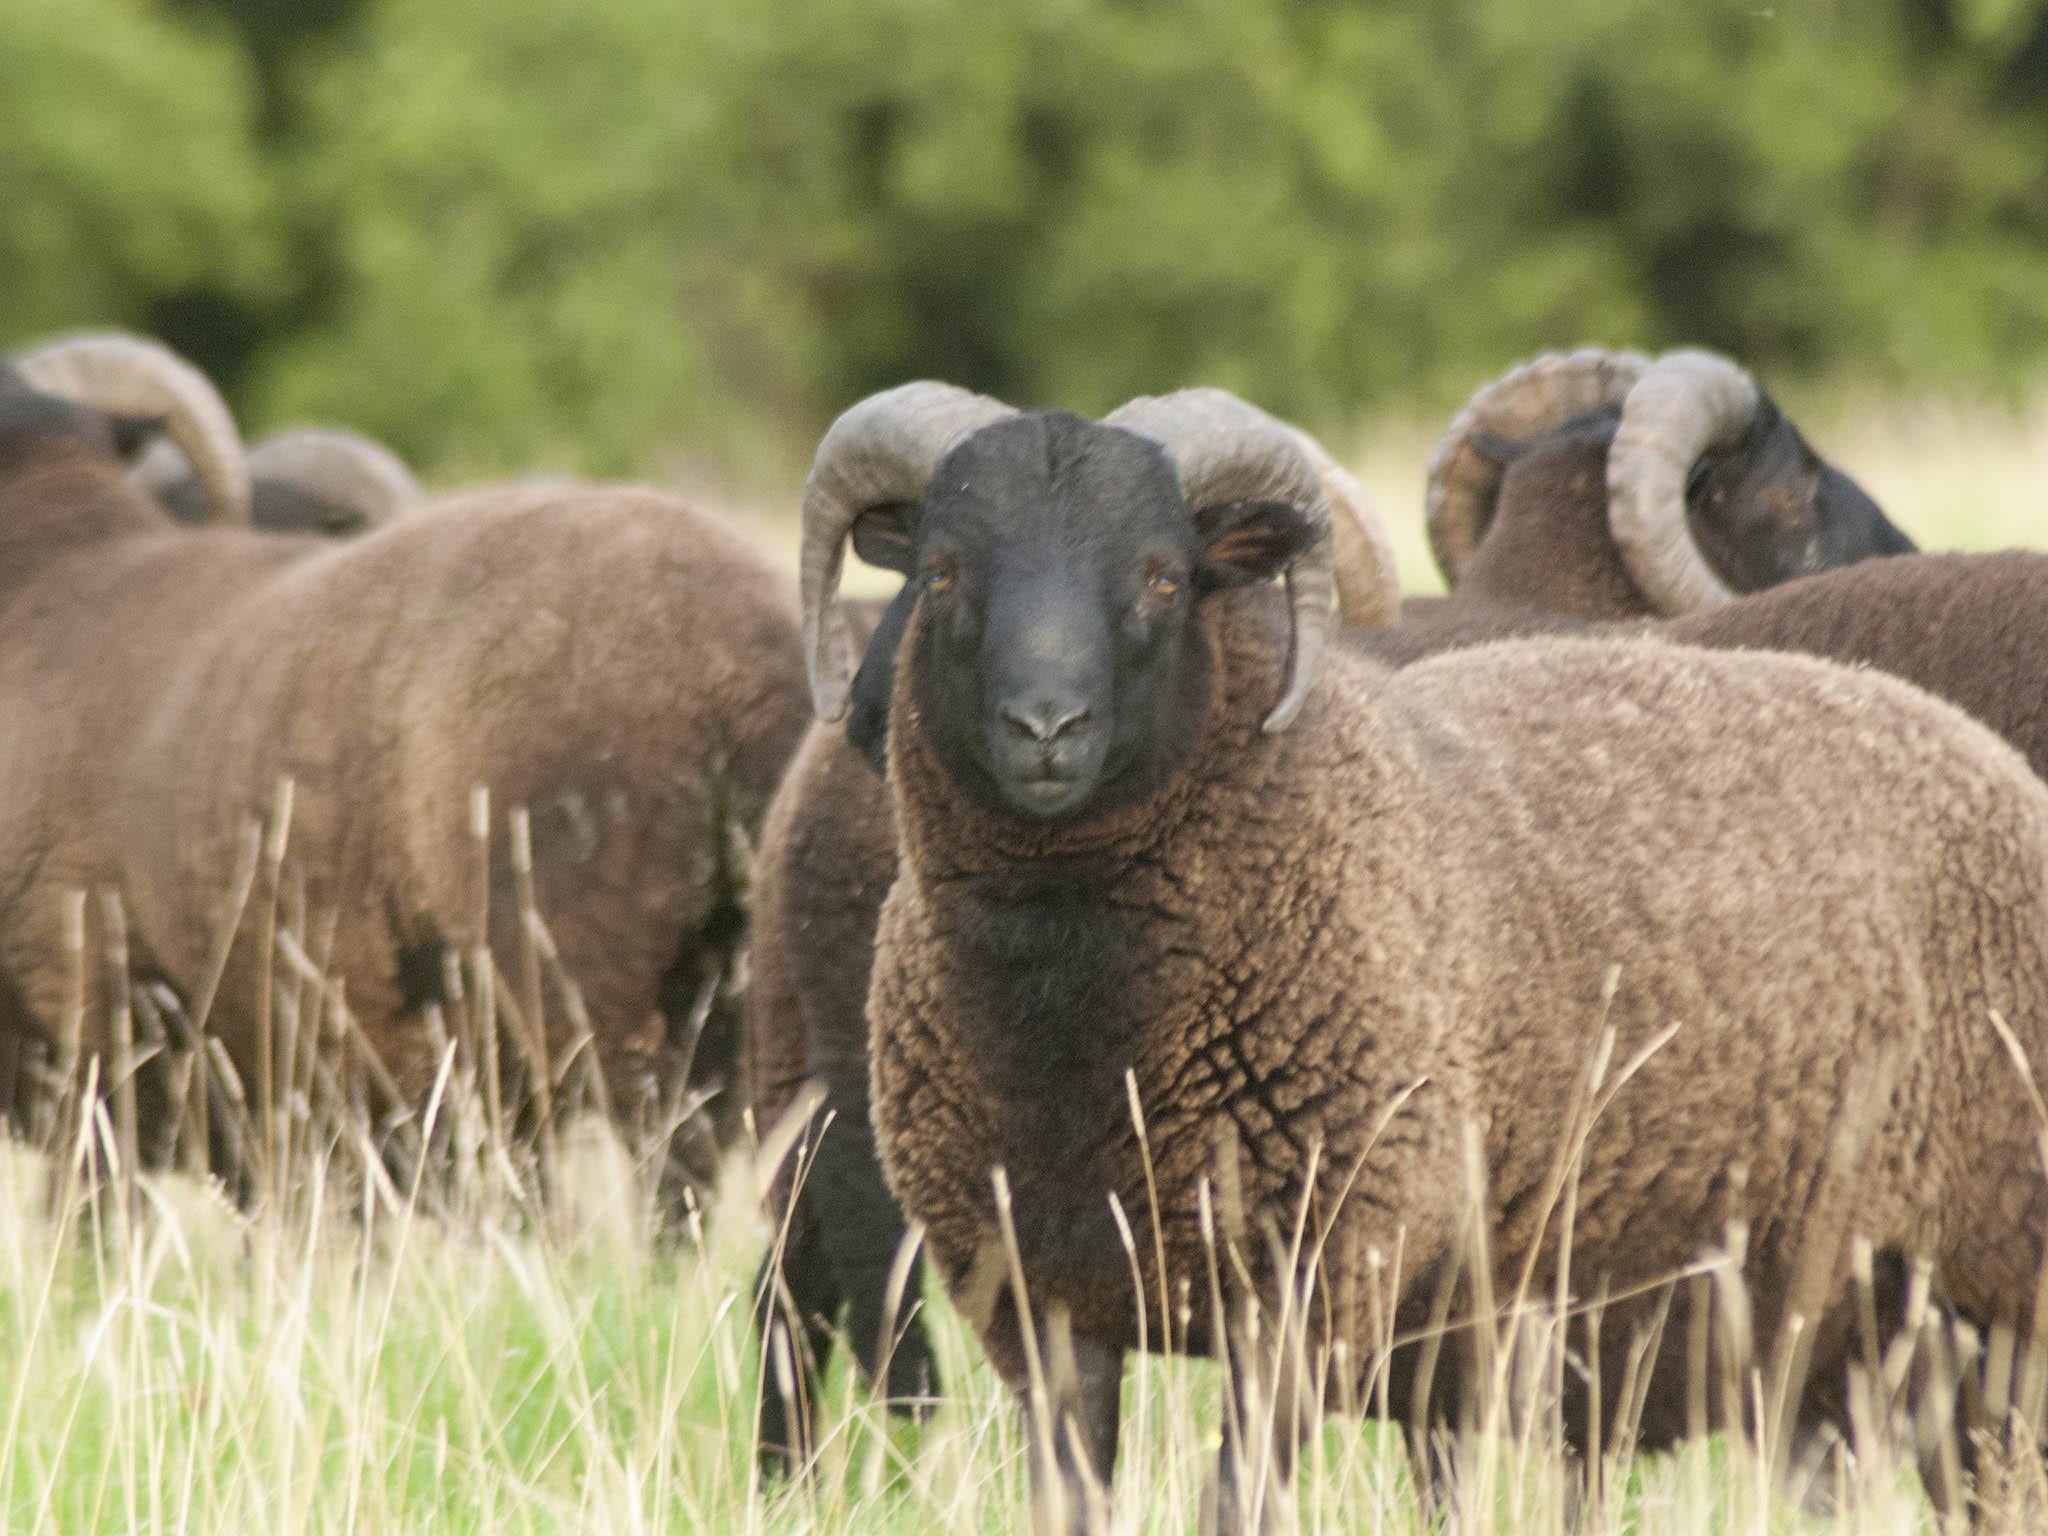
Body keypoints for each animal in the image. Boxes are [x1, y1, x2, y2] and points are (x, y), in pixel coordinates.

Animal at [786, 382, 2048, 1531]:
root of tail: (1973, 752)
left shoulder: (1310, 1286)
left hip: (1991, 1299)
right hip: (1836, 1349)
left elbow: (1237, 1501)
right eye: (940, 571)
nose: (1045, 728)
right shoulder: (1040, 1307)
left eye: (1163, 575)